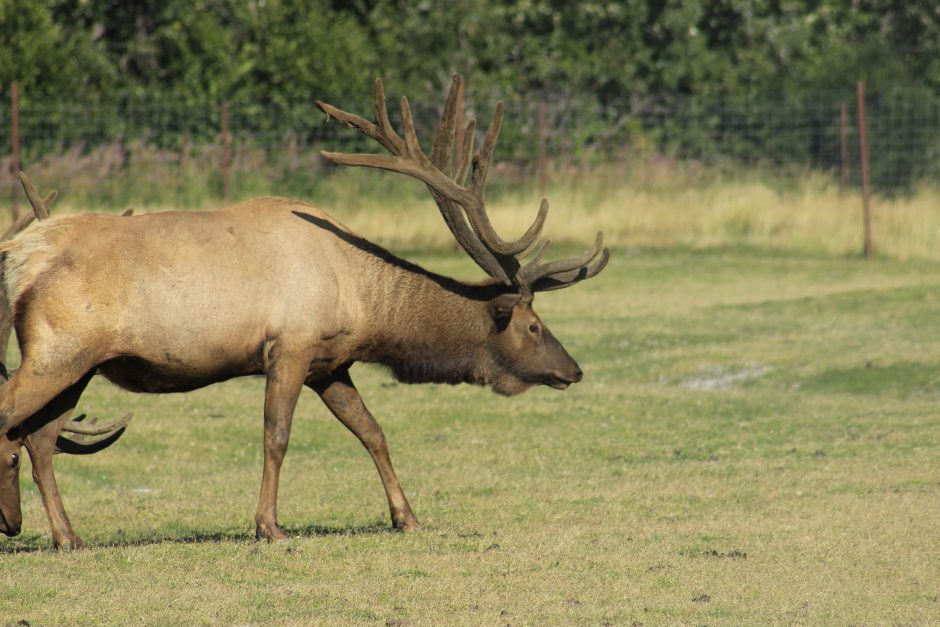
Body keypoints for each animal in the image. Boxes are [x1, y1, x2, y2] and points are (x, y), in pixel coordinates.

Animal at [0, 76, 608, 548]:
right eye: (533, 325)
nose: (575, 369)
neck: (361, 299)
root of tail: (23, 257)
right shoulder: (289, 346)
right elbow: (277, 435)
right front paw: (269, 526)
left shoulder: (331, 363)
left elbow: (373, 432)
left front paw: (406, 517)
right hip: (58, 349)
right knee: (16, 423)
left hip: (80, 363)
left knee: (38, 438)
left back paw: (68, 536)